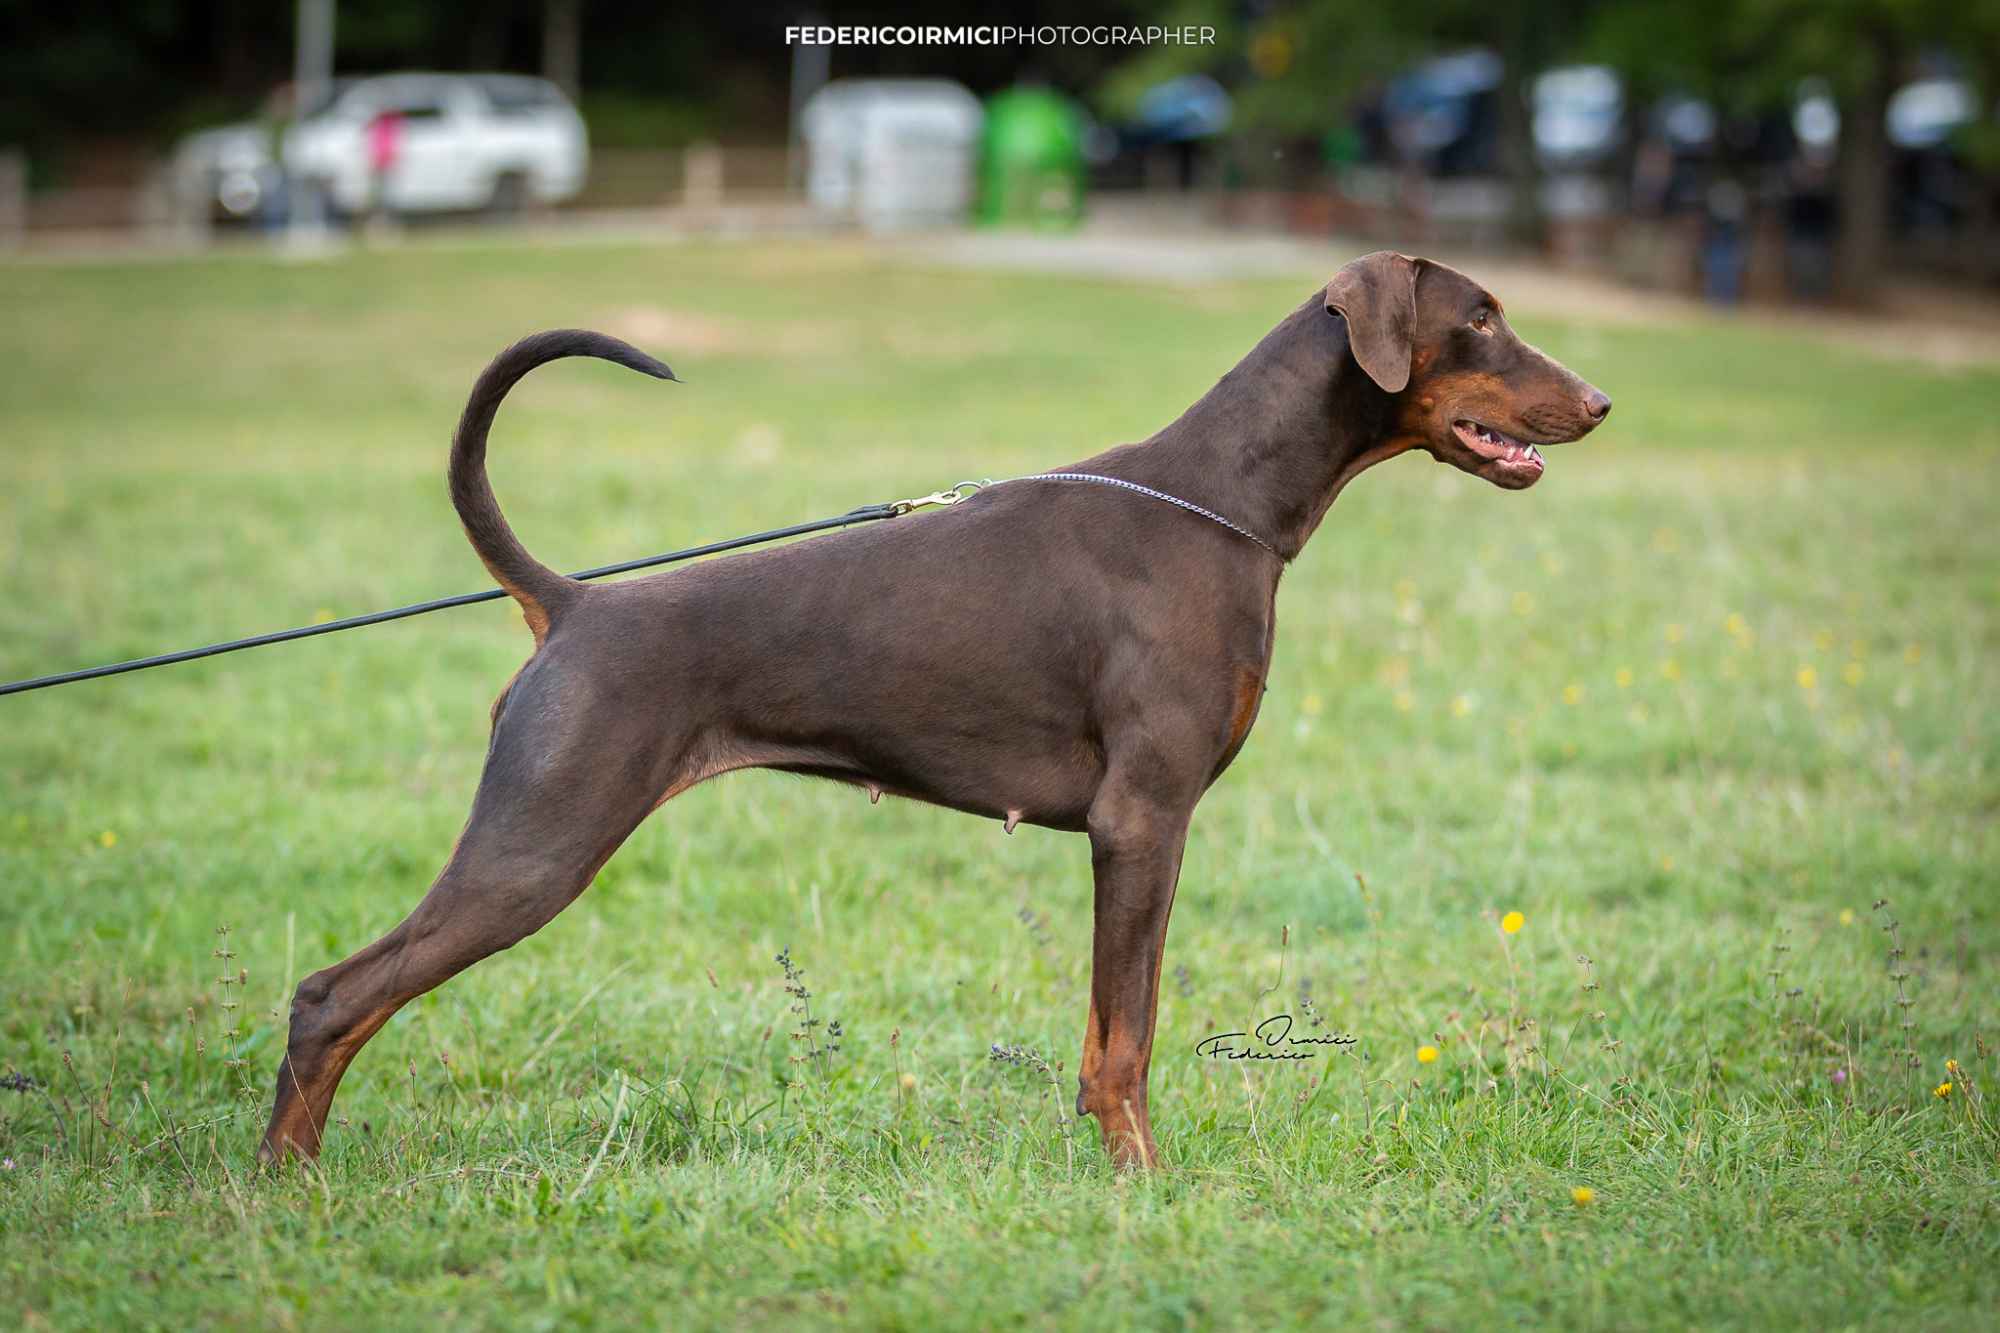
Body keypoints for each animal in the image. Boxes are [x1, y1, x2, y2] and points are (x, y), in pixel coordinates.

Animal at [262, 249, 1608, 1160]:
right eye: (1480, 319)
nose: (1598, 402)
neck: (1222, 500)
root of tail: (576, 602)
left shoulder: (1143, 834)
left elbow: (1108, 1032)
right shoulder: (1142, 819)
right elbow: (1128, 1036)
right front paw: (1141, 1179)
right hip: (537, 842)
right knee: (334, 996)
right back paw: (284, 1185)